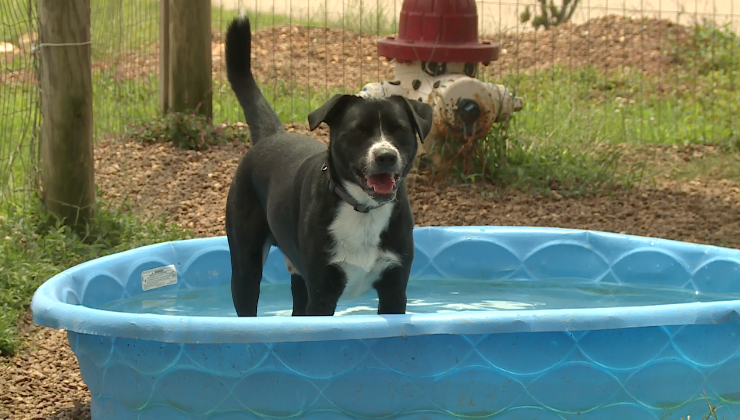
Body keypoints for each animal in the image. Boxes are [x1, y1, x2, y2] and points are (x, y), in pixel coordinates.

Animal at [225, 17, 434, 318]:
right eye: (358, 131)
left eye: (400, 130)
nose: (385, 156)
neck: (363, 211)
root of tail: (272, 136)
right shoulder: (322, 295)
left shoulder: (395, 290)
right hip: (245, 265)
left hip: (298, 281)